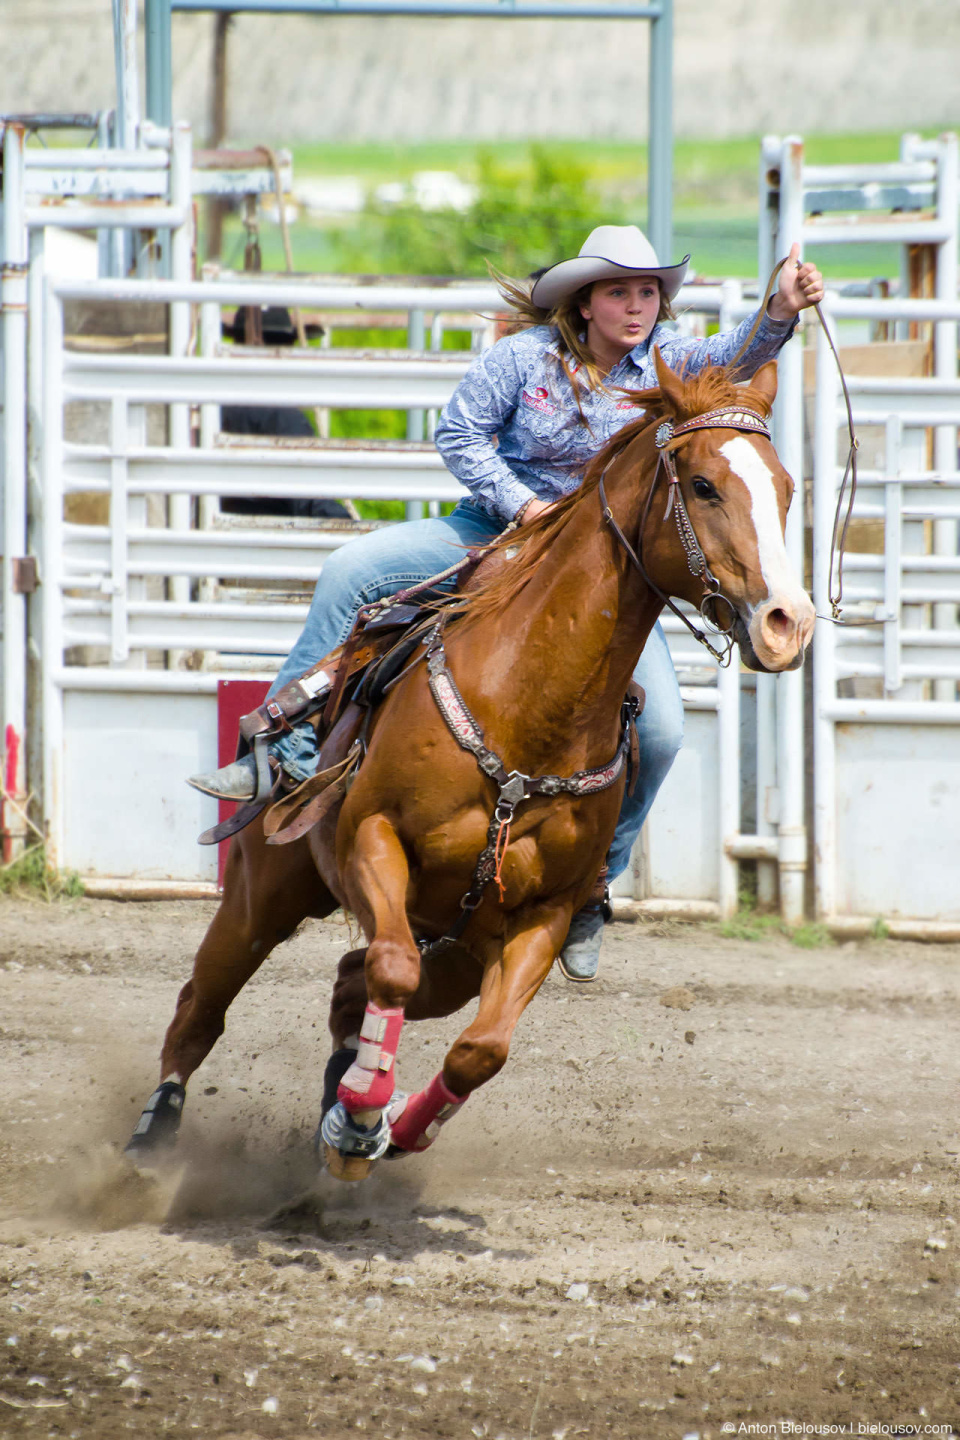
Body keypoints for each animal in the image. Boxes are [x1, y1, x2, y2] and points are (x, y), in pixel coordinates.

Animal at [125, 351, 811, 1180]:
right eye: (705, 484)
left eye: (787, 488)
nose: (788, 623)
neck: (527, 711)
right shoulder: (373, 840)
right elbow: (391, 967)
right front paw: (362, 1117)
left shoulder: (542, 918)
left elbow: (480, 1050)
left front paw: (386, 1126)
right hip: (266, 893)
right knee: (204, 1004)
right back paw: (155, 1135)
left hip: (449, 952)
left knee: (348, 989)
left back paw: (342, 1107)